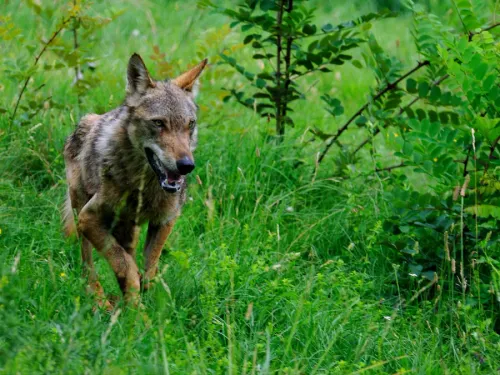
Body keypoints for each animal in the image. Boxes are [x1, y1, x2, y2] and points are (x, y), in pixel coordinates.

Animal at [63, 53, 207, 308]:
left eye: (190, 124)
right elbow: (124, 264)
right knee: (88, 266)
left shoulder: (166, 220)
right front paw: (137, 309)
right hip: (81, 209)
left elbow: (149, 268)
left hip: (129, 229)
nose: (186, 166)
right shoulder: (88, 218)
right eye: (159, 123)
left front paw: (141, 302)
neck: (144, 186)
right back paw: (99, 301)